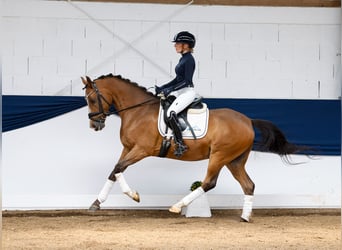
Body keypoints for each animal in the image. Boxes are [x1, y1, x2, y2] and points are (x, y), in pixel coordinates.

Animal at [82, 73, 304, 222]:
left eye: (92, 99)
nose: (94, 125)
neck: (138, 111)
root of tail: (248, 121)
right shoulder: (128, 149)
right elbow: (114, 170)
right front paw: (96, 203)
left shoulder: (141, 150)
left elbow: (119, 168)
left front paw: (134, 195)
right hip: (235, 161)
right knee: (248, 185)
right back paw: (245, 217)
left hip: (219, 156)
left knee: (209, 182)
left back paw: (177, 206)